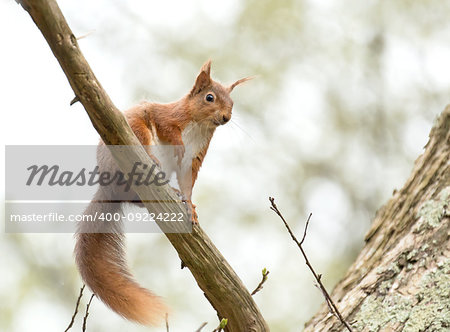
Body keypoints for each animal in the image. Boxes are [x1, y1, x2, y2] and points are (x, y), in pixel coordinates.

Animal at [74, 61, 250, 326]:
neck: (199, 125)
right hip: (134, 131)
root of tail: (108, 189)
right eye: (209, 97)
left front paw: (190, 206)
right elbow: (166, 125)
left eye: (232, 103)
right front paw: (177, 143)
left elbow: (189, 183)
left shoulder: (195, 159)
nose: (226, 118)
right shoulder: (167, 116)